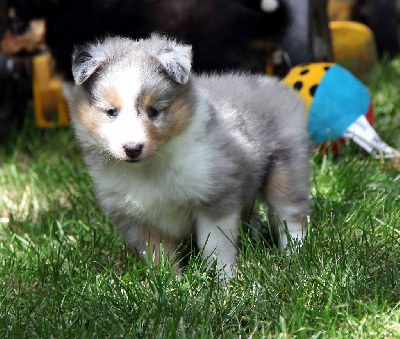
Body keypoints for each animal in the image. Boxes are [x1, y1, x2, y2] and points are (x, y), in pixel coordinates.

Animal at [70, 35, 310, 278]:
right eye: (111, 112)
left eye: (154, 110)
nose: (132, 148)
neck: (149, 168)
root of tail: (271, 83)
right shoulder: (138, 220)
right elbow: (160, 257)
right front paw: (171, 282)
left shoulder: (215, 198)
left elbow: (216, 247)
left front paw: (224, 280)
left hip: (286, 168)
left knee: (291, 214)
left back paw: (294, 254)